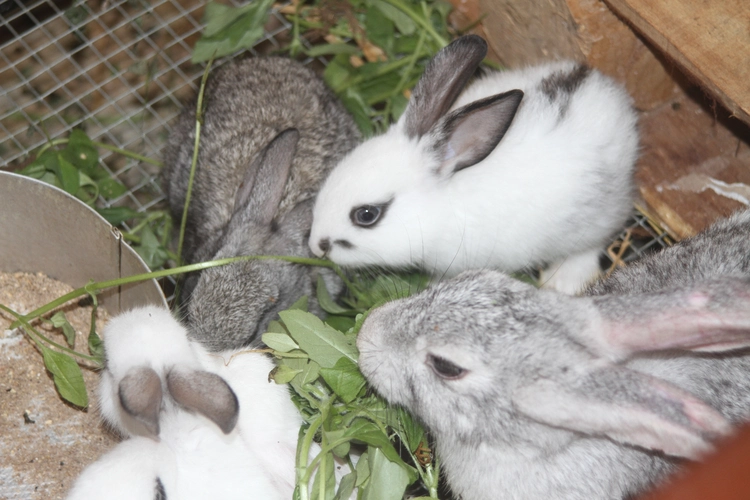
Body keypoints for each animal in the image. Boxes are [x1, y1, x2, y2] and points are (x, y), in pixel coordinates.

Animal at [309, 34, 638, 294]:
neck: (440, 205)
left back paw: (564, 282)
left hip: (596, 218)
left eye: (366, 215)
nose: (314, 246)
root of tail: (614, 102)